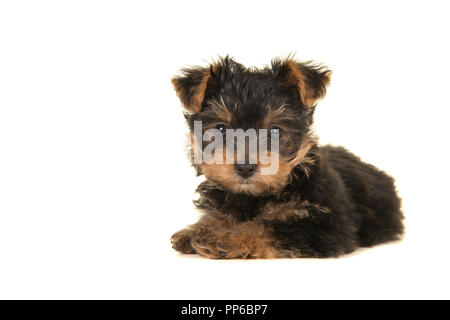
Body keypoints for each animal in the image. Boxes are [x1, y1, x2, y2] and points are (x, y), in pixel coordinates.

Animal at [170, 56, 404, 258]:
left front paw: (226, 239)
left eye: (274, 131)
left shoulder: (326, 226)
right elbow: (222, 214)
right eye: (220, 129)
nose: (245, 167)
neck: (252, 196)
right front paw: (199, 229)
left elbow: (267, 227)